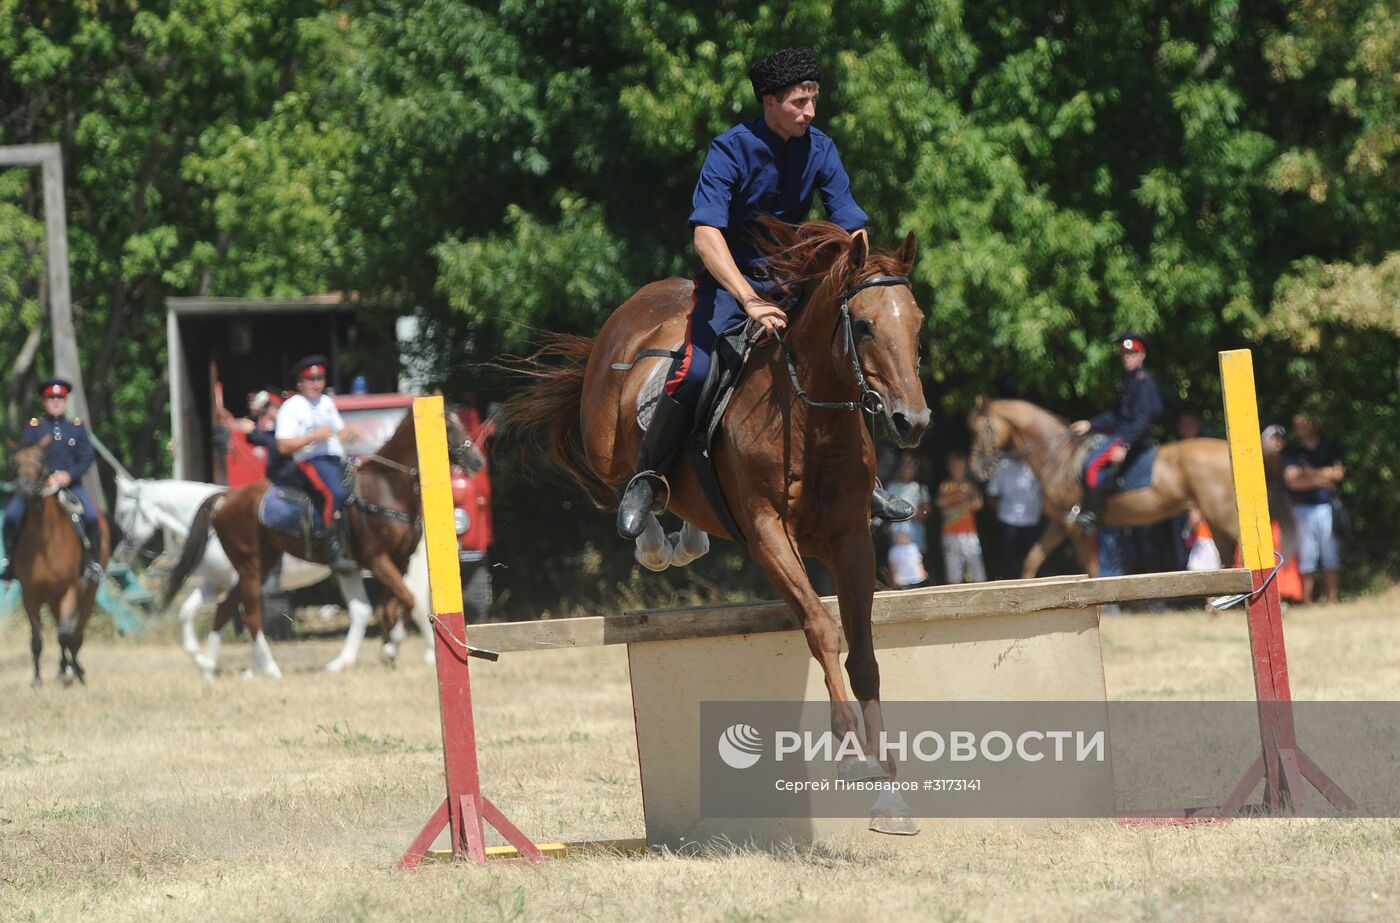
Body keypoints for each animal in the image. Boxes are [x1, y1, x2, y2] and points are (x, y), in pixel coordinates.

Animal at [7, 439, 109, 686]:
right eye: (17, 460)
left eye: (40, 458)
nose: (25, 486)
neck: (44, 540)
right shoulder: (30, 594)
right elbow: (37, 638)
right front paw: (37, 679)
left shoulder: (69, 590)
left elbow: (65, 635)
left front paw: (73, 672)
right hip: (53, 599)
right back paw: (65, 668)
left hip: (88, 593)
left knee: (76, 633)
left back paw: (75, 670)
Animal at [112, 476, 434, 677]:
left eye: (123, 512)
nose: (119, 554)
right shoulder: (215, 584)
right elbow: (190, 613)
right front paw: (206, 661)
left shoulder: (237, 581)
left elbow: (239, 616)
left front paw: (253, 665)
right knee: (373, 609)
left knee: (414, 605)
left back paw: (422, 652)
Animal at [160, 408, 481, 675]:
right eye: (447, 427)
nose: (477, 461)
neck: (387, 489)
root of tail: (227, 498)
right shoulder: (378, 560)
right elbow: (406, 600)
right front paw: (391, 648)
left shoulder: (398, 562)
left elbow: (394, 605)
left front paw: (389, 650)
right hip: (250, 568)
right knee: (250, 616)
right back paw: (269, 669)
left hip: (259, 566)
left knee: (226, 609)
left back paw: (214, 668)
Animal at [506, 219, 929, 834]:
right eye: (867, 325)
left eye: (917, 323)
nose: (911, 421)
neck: (811, 422)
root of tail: (642, 301)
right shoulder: (768, 535)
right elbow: (822, 628)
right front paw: (851, 751)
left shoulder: (852, 541)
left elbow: (865, 655)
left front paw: (890, 791)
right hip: (605, 441)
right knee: (627, 478)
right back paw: (648, 530)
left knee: (681, 508)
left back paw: (686, 540)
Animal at [968, 397, 1243, 577]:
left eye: (981, 430)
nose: (974, 471)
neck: (1058, 457)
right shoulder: (1059, 523)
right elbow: (1032, 560)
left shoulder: (1076, 526)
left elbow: (1092, 571)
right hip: (1214, 520)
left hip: (1224, 517)